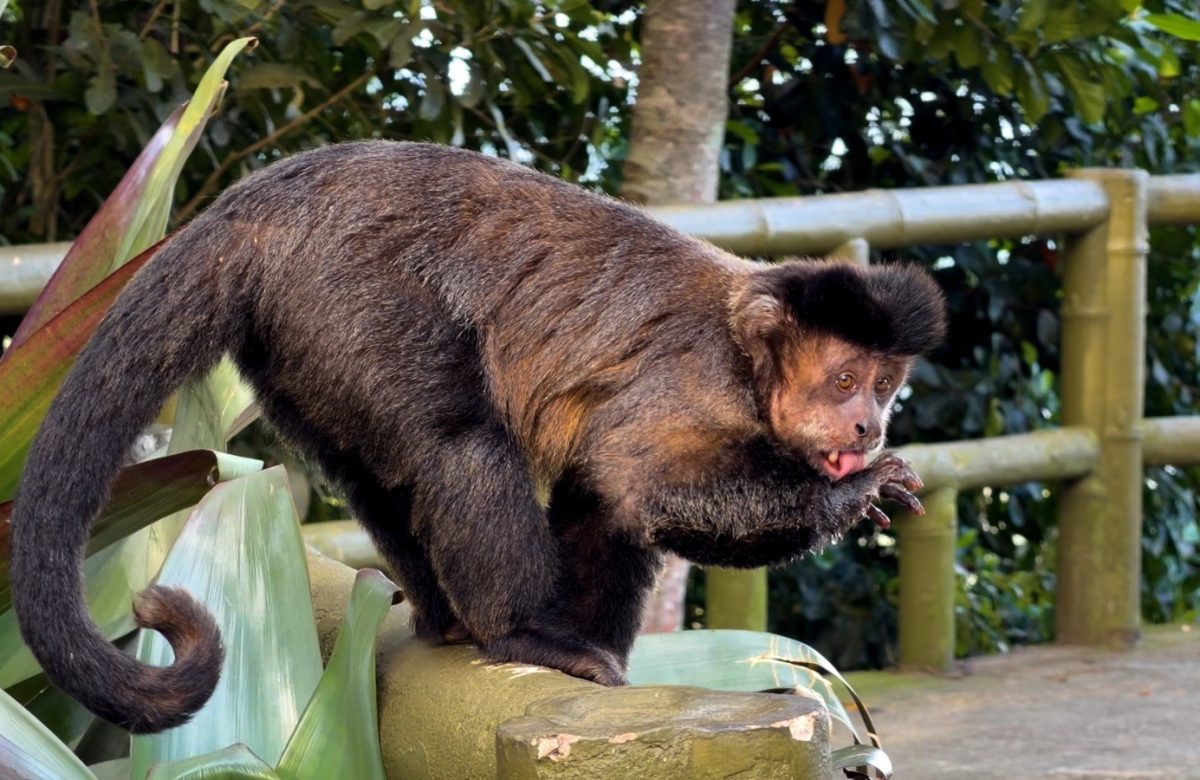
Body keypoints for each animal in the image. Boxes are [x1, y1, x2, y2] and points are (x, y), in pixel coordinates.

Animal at [9, 141, 946, 734]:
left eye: (885, 386)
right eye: (844, 382)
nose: (868, 426)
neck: (750, 362)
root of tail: (260, 200)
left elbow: (601, 502)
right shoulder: (696, 379)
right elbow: (644, 488)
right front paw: (851, 495)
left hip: (298, 336)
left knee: (383, 470)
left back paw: (447, 617)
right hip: (351, 287)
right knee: (459, 439)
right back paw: (514, 631)